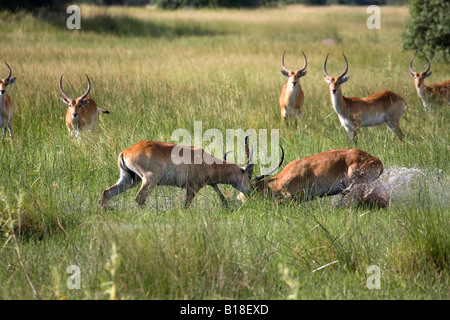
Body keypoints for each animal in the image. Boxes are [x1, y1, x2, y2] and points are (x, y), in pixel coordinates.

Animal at [98, 139, 264, 209]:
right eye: (248, 175)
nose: (251, 191)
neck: (205, 160)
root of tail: (125, 151)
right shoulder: (192, 187)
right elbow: (186, 205)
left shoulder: (208, 183)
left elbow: (221, 196)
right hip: (148, 180)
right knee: (139, 198)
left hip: (130, 180)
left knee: (107, 192)